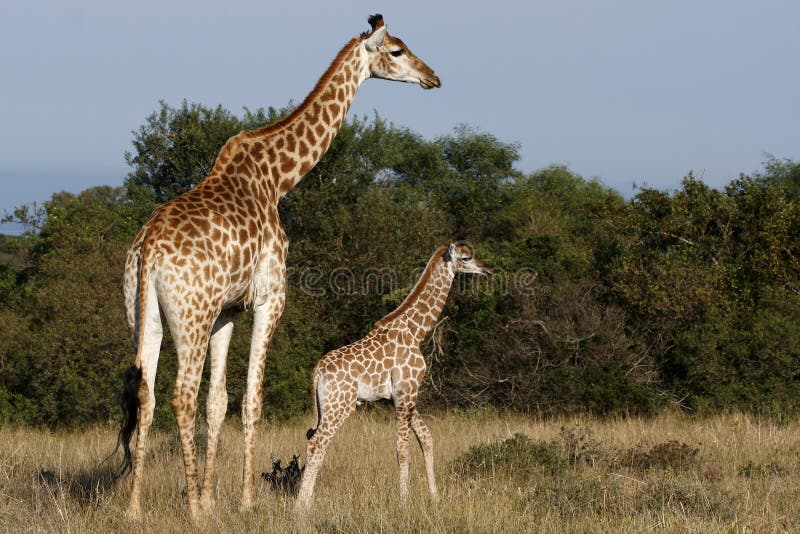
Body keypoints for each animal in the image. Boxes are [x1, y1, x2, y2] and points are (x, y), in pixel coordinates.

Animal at [119, 14, 440, 520]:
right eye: (397, 51)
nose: (433, 77)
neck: (277, 180)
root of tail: (148, 248)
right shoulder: (271, 297)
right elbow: (252, 398)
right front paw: (243, 501)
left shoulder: (228, 310)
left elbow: (219, 402)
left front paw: (212, 499)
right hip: (189, 317)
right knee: (180, 396)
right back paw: (189, 510)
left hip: (143, 315)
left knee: (147, 396)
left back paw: (134, 508)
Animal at [296, 243, 490, 510]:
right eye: (466, 257)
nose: (486, 268)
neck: (416, 331)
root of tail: (318, 371)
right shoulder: (406, 393)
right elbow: (402, 448)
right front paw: (404, 501)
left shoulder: (400, 396)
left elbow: (426, 437)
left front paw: (434, 496)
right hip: (340, 405)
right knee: (317, 442)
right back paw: (300, 506)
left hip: (325, 407)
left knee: (313, 440)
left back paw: (307, 501)